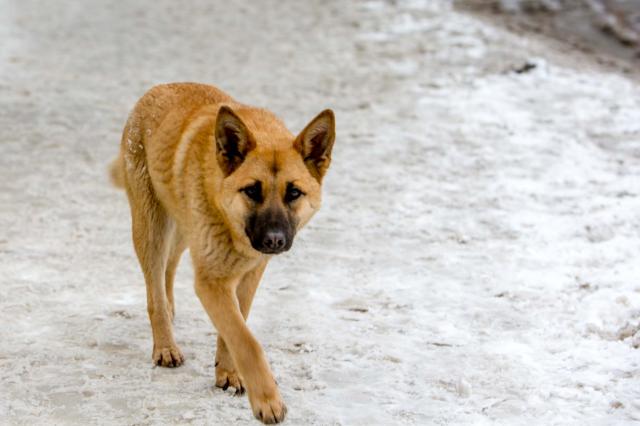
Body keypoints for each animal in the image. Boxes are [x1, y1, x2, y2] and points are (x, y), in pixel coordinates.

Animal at [110, 83, 338, 422]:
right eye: (252, 190)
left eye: (294, 192)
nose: (274, 240)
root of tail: (157, 89)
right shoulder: (212, 281)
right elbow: (246, 341)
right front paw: (267, 401)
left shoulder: (249, 274)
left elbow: (236, 325)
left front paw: (228, 373)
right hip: (152, 229)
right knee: (154, 291)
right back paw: (165, 345)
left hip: (182, 229)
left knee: (169, 268)